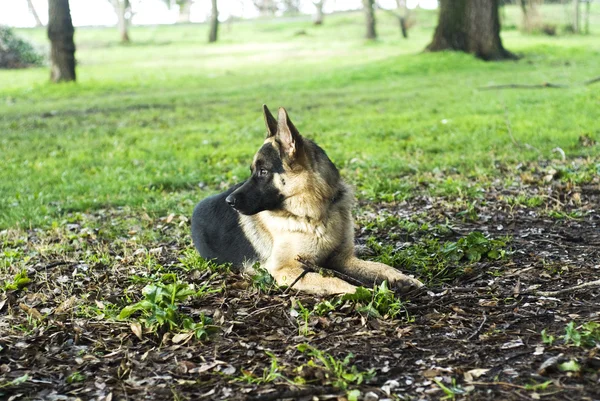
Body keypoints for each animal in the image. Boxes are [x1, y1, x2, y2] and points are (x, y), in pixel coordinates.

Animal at [191, 104, 422, 296]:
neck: (317, 213)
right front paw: (363, 291)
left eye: (263, 171)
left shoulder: (343, 259)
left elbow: (380, 266)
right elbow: (334, 281)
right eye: (252, 171)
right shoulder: (286, 270)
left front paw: (402, 277)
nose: (229, 202)